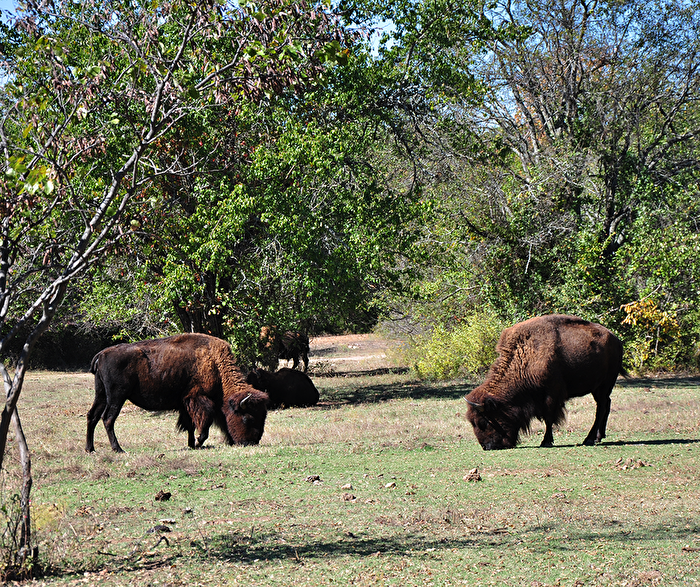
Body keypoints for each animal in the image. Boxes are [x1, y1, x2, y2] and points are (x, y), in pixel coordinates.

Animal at [82, 334, 268, 452]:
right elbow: (204, 422)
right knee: (108, 419)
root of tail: (102, 354)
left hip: (101, 395)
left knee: (92, 416)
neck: (215, 363)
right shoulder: (198, 399)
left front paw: (192, 445)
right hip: (116, 397)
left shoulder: (185, 403)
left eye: (263, 418)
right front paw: (198, 442)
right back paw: (118, 449)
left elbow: (190, 424)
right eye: (247, 418)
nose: (251, 443)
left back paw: (90, 449)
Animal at [464, 316, 624, 450]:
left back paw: (589, 439)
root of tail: (616, 340)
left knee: (601, 408)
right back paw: (599, 437)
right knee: (606, 405)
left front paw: (546, 441)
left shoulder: (551, 395)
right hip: (599, 388)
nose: (486, 446)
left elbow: (549, 418)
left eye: (483, 422)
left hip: (604, 385)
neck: (525, 355)